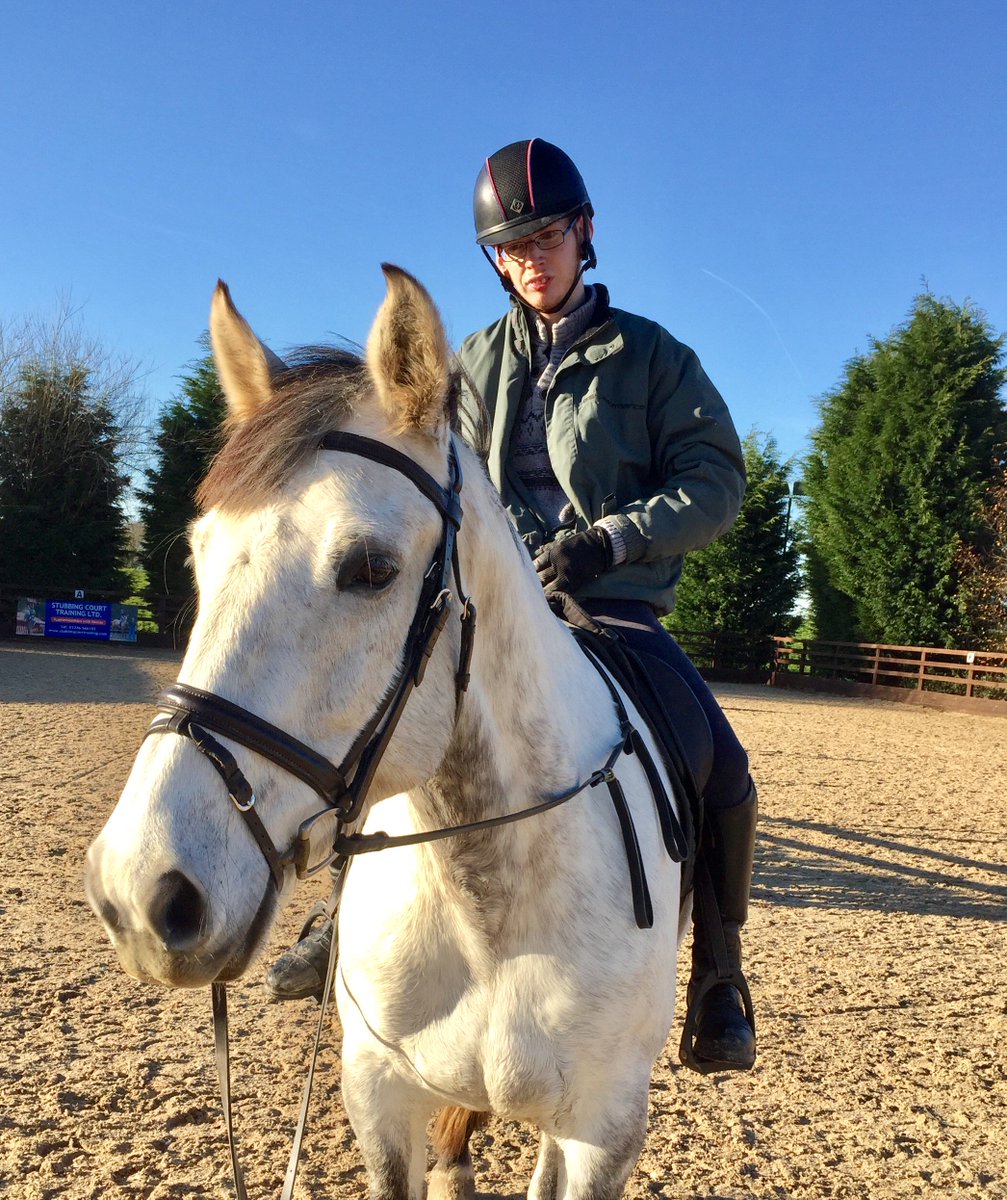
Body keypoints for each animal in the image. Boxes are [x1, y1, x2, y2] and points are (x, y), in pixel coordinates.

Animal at [85, 267, 690, 1200]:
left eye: (371, 569)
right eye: (198, 555)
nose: (141, 894)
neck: (489, 910)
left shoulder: (602, 1133)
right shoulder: (378, 1095)